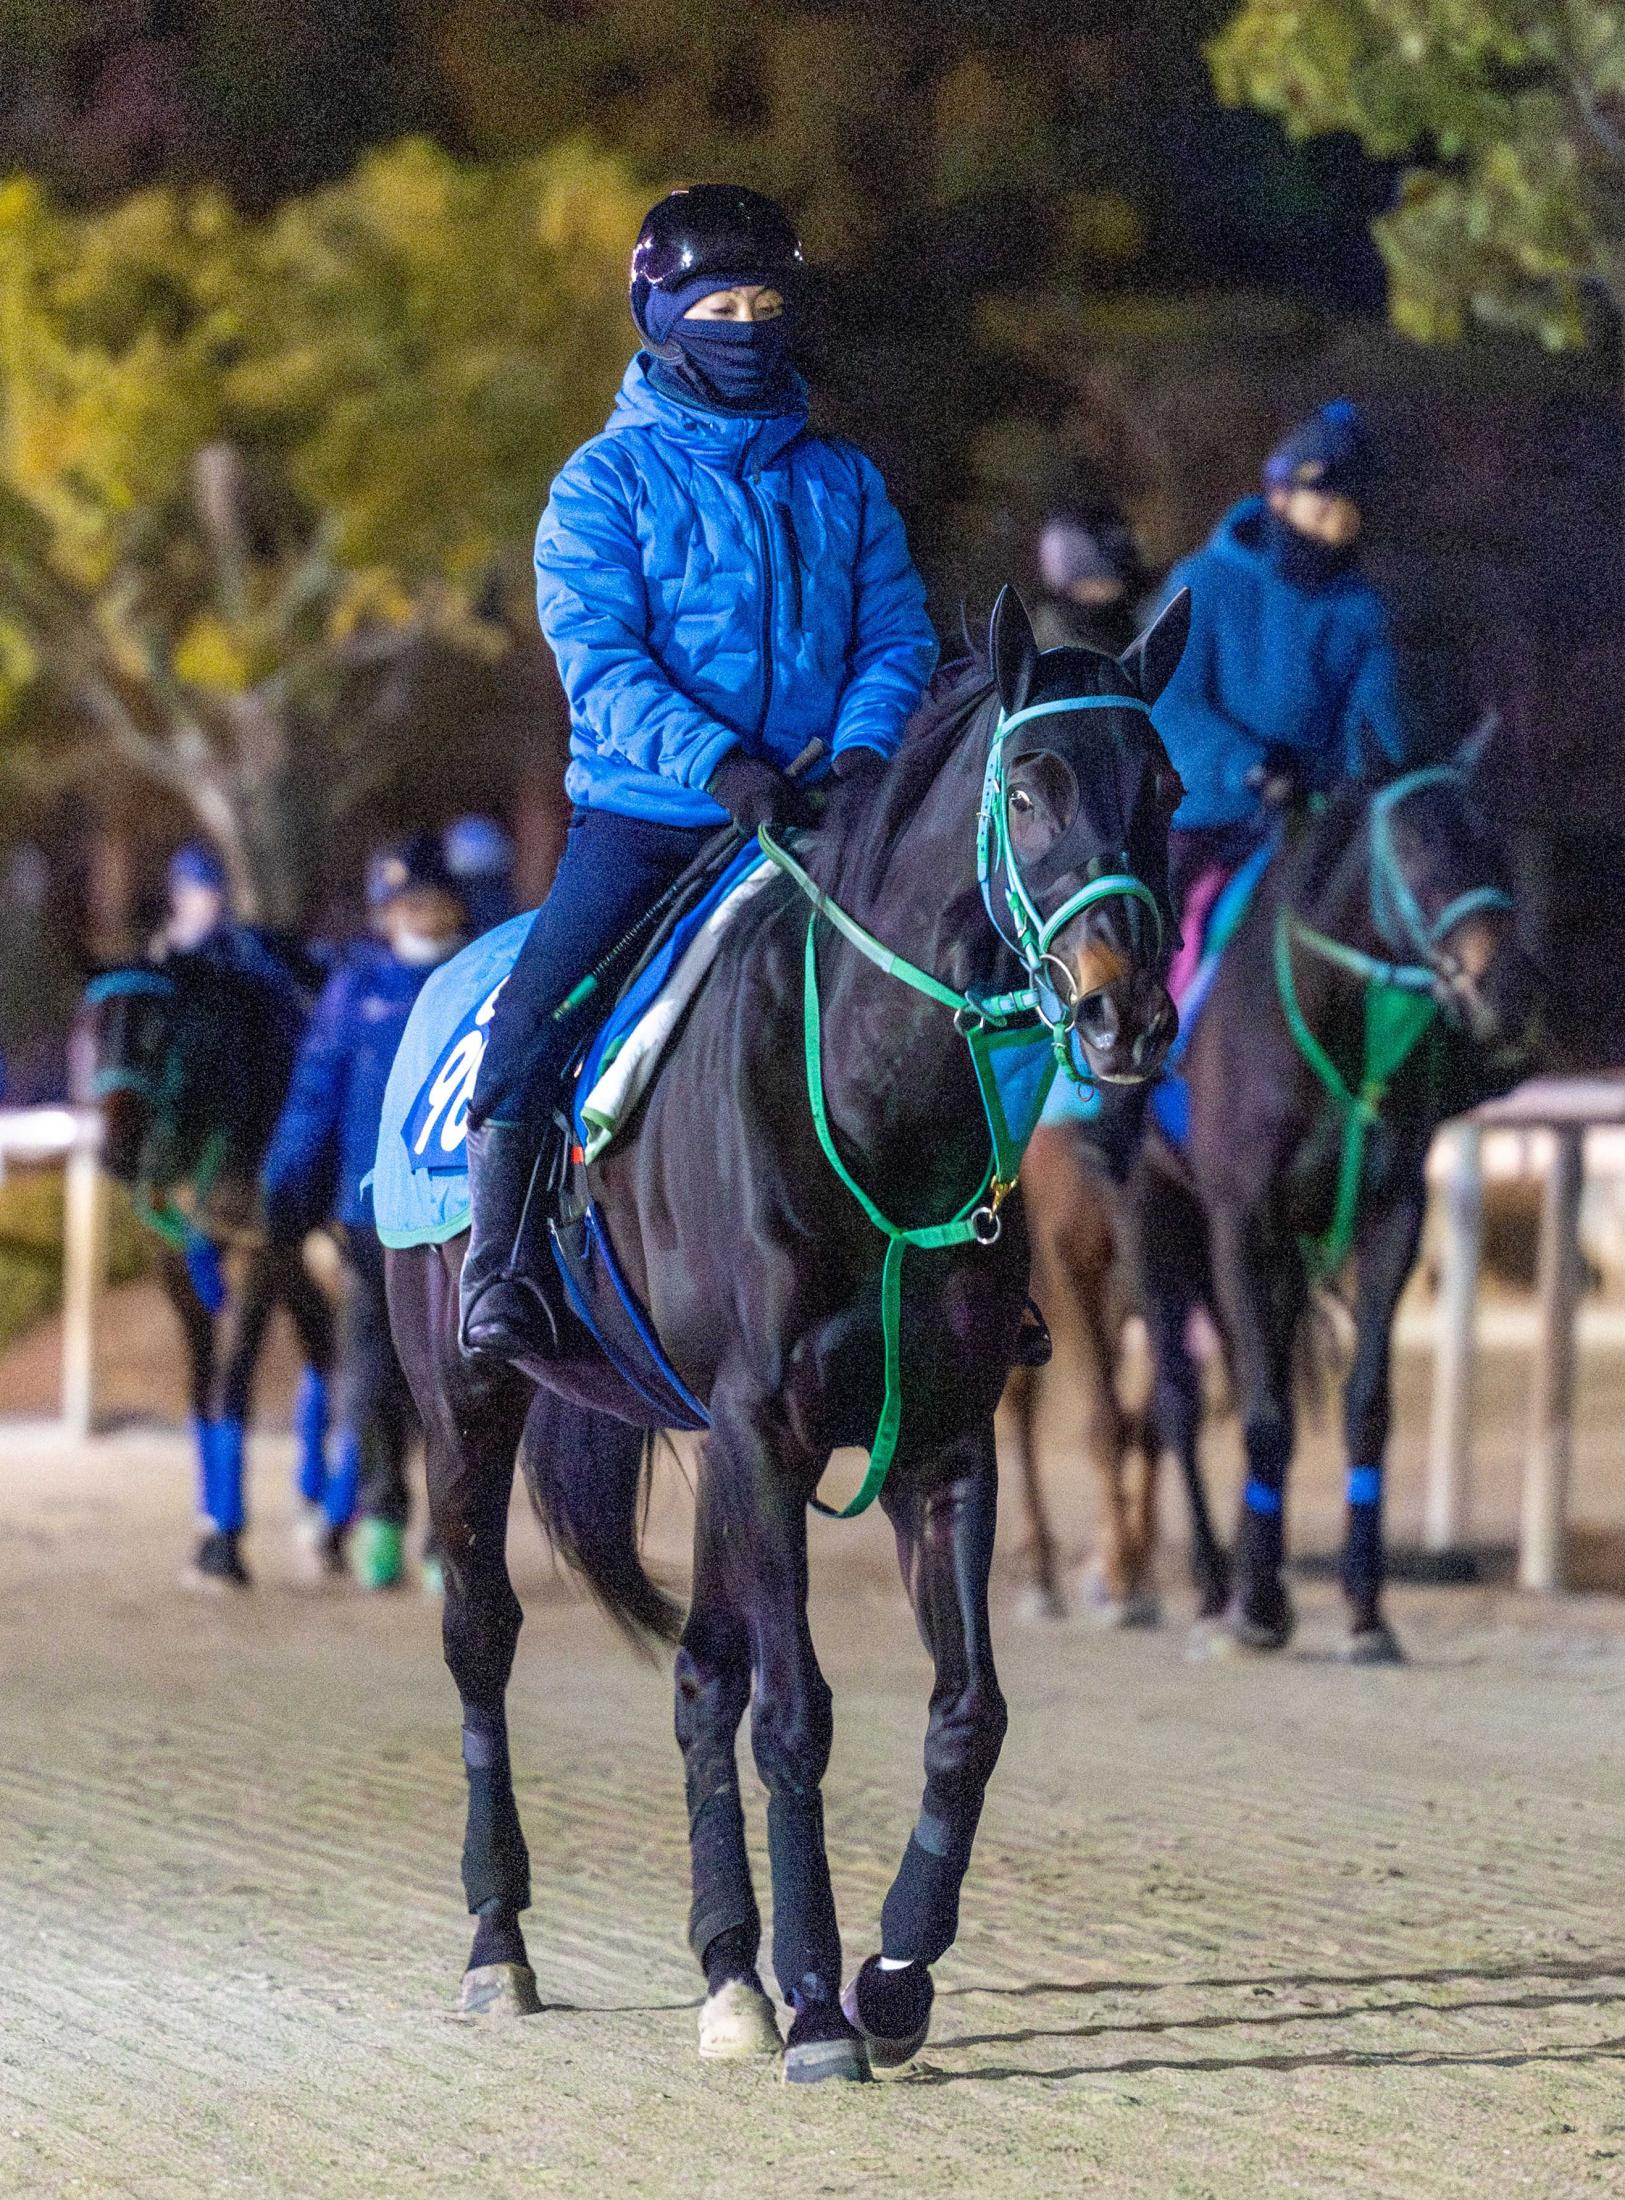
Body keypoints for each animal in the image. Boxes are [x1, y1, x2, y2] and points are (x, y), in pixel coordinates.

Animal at [84, 941, 334, 1587]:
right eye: (91, 1028)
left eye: (157, 1031)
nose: (116, 1150)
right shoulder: (174, 1256)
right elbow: (199, 1386)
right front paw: (207, 1532)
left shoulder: (259, 1247)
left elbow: (231, 1382)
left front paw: (224, 1544)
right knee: (324, 1348)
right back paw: (325, 1524)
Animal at [383, 586, 1187, 2082]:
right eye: (1029, 788)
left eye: (1163, 788)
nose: (1127, 1014)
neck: (872, 1096)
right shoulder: (765, 1429)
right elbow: (796, 1712)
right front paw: (819, 2000)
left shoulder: (939, 1439)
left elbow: (964, 1715)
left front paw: (891, 1975)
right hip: (466, 1397)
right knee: (482, 1637)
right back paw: (499, 1944)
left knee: (700, 1675)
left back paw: (725, 1970)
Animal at [1013, 736, 1545, 1661]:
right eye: (1412, 852)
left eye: (1493, 845)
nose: (1508, 993)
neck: (1324, 1014)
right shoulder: (1234, 1220)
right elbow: (1250, 1413)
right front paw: (1253, 1606)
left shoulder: (1386, 1218)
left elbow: (1363, 1406)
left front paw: (1364, 1611)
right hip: (1134, 1224)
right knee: (1154, 1407)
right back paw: (1173, 1583)